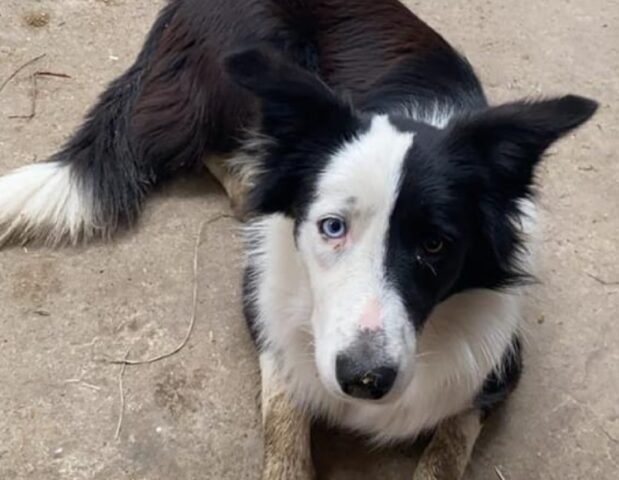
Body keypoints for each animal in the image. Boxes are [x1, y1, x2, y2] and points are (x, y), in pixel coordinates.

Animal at [0, 0, 600, 480]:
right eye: (332, 227)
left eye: (435, 245)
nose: (365, 380)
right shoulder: (269, 320)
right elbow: (285, 428)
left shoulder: (496, 369)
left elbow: (445, 452)